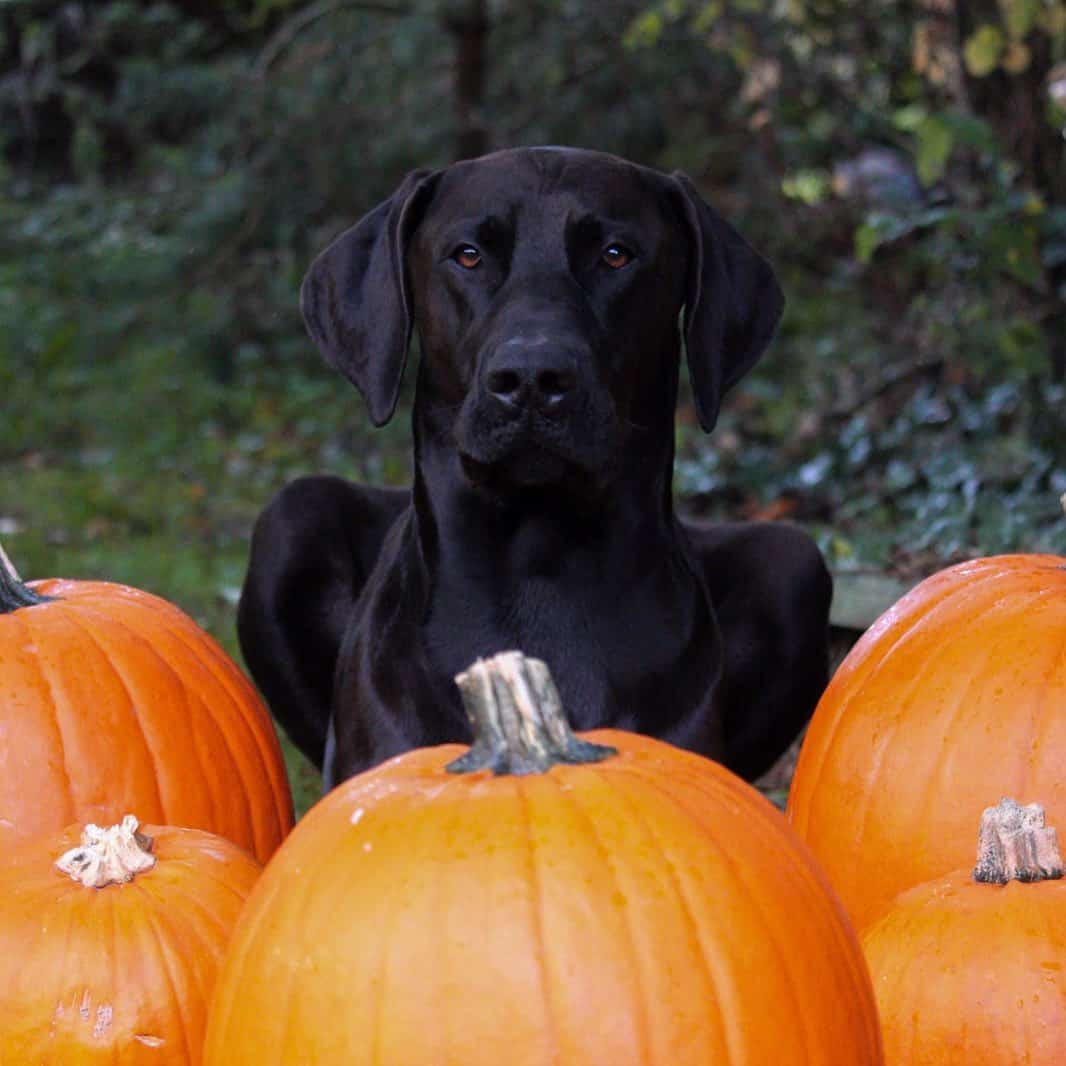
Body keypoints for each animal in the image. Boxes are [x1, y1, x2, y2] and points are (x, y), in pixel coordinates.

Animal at [241, 146, 831, 788]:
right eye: (468, 254)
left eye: (615, 254)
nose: (530, 378)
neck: (539, 564)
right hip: (292, 517)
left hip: (791, 561)